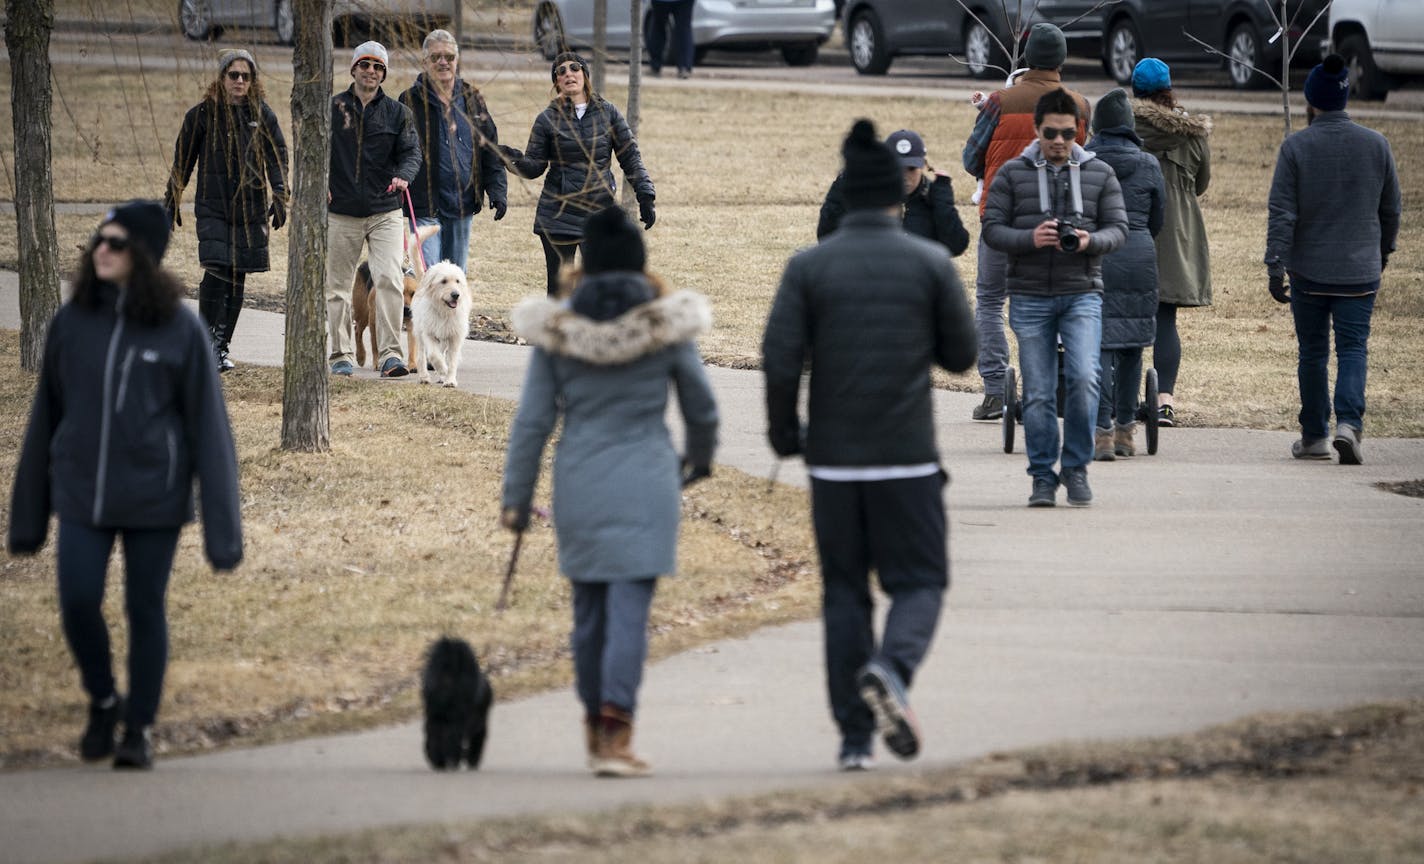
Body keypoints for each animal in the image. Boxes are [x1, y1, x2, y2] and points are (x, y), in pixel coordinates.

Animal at [410, 256, 475, 390]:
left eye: (457, 281)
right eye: (444, 281)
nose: (456, 295)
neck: (444, 312)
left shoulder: (455, 337)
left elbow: (452, 360)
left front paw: (449, 380)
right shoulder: (428, 334)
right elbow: (434, 356)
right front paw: (444, 370)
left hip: (444, 339)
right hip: (419, 332)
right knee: (421, 356)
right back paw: (424, 377)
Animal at [418, 634, 492, 768]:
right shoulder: (476, 723)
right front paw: (470, 760)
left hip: (434, 716)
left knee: (434, 737)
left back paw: (440, 760)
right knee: (452, 739)